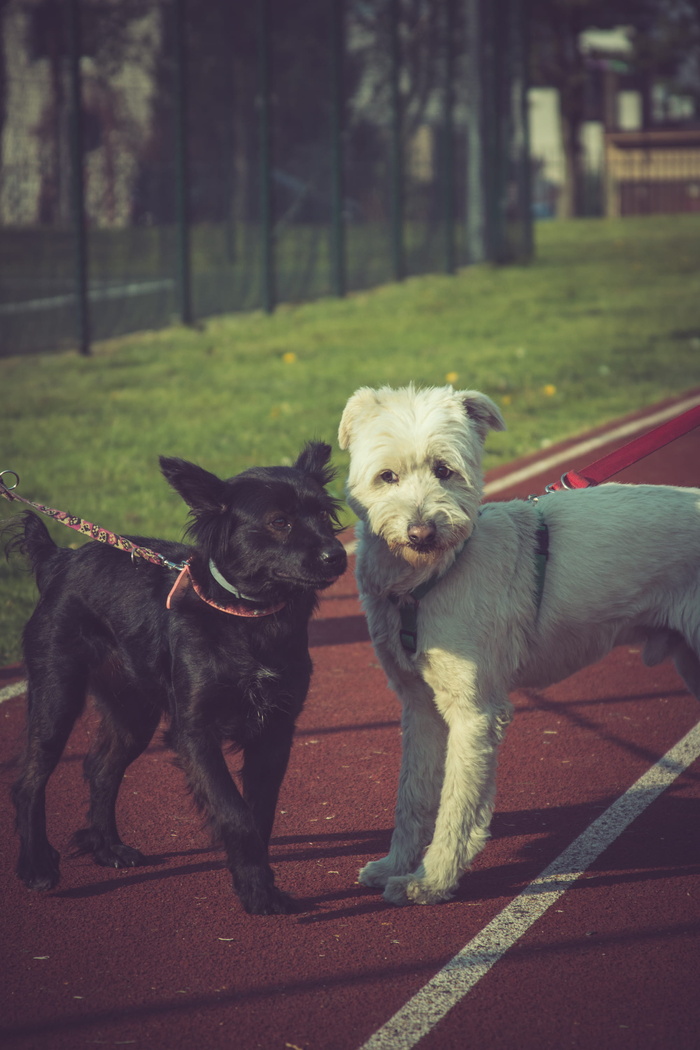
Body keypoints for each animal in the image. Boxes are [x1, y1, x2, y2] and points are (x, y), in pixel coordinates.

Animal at [5, 443, 344, 911]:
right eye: (280, 521)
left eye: (326, 515)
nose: (338, 555)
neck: (249, 618)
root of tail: (61, 559)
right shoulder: (195, 732)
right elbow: (234, 813)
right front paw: (258, 891)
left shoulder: (275, 730)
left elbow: (259, 815)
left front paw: (259, 884)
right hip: (57, 694)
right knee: (29, 780)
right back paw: (38, 864)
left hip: (133, 712)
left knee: (100, 768)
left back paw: (107, 848)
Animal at [340, 386, 700, 902]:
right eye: (387, 476)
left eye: (445, 470)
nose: (422, 532)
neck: (428, 580)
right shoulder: (419, 706)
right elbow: (412, 797)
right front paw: (395, 866)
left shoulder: (474, 713)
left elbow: (457, 805)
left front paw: (433, 880)